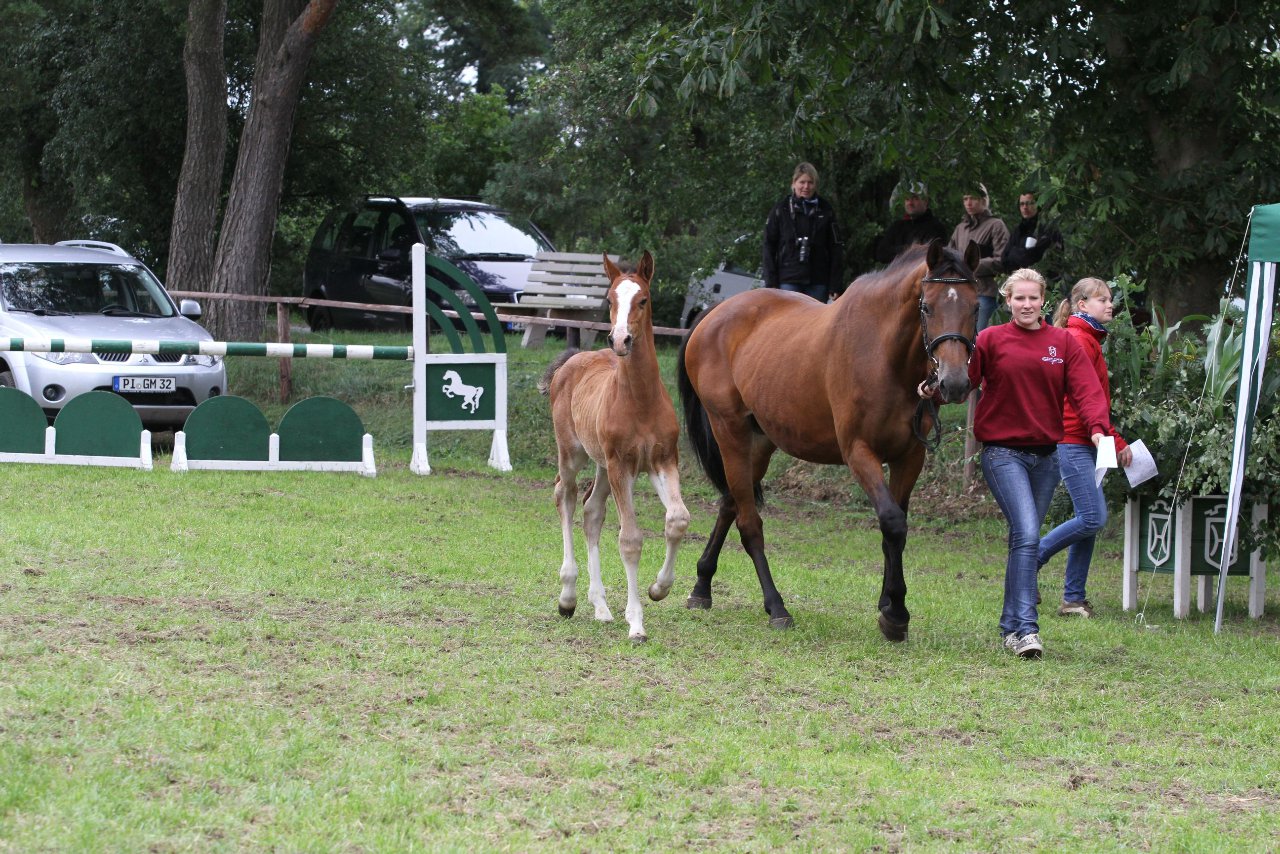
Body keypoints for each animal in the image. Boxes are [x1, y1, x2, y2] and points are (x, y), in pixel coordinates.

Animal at [540, 250, 691, 637]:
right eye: (609, 300)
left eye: (644, 299)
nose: (620, 339)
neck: (640, 400)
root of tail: (573, 360)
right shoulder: (623, 464)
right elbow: (630, 539)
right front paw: (636, 622)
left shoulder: (662, 460)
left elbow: (677, 519)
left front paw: (658, 588)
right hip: (574, 453)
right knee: (565, 495)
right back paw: (568, 596)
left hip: (602, 464)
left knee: (592, 511)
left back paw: (601, 606)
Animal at [680, 236, 977, 637]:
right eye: (927, 307)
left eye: (975, 307)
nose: (954, 382)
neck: (885, 355)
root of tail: (714, 314)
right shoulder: (859, 452)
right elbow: (892, 521)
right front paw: (896, 613)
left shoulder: (910, 456)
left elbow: (896, 527)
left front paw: (888, 604)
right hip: (730, 431)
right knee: (748, 522)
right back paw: (776, 607)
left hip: (761, 441)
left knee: (731, 503)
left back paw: (702, 586)